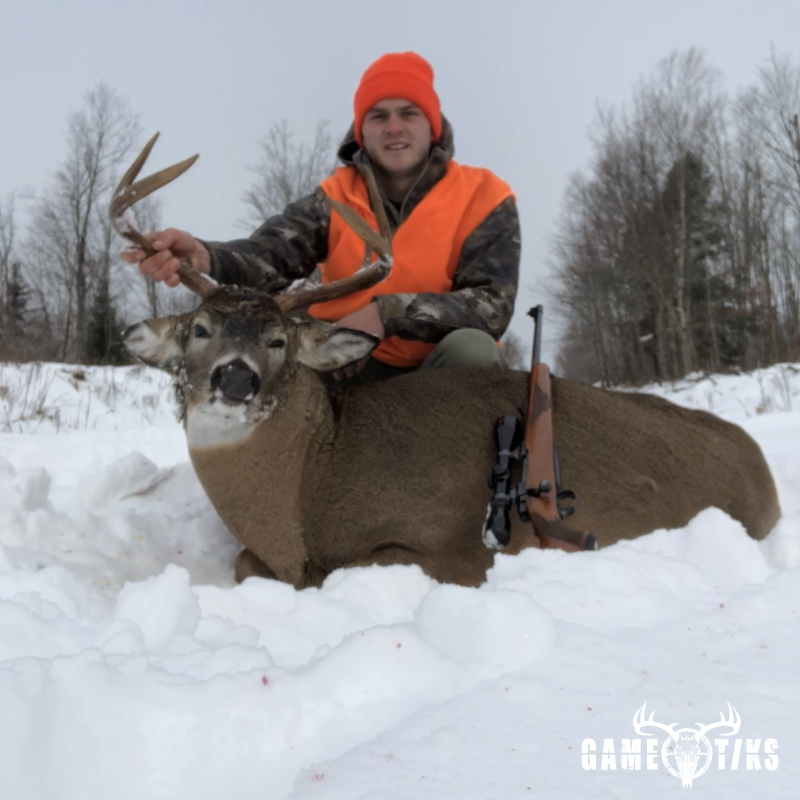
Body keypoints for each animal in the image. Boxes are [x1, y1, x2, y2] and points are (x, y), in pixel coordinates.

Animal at [112, 136, 781, 588]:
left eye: (279, 342)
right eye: (200, 329)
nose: (235, 377)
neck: (305, 492)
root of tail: (762, 464)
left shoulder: (452, 549)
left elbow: (336, 570)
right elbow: (243, 561)